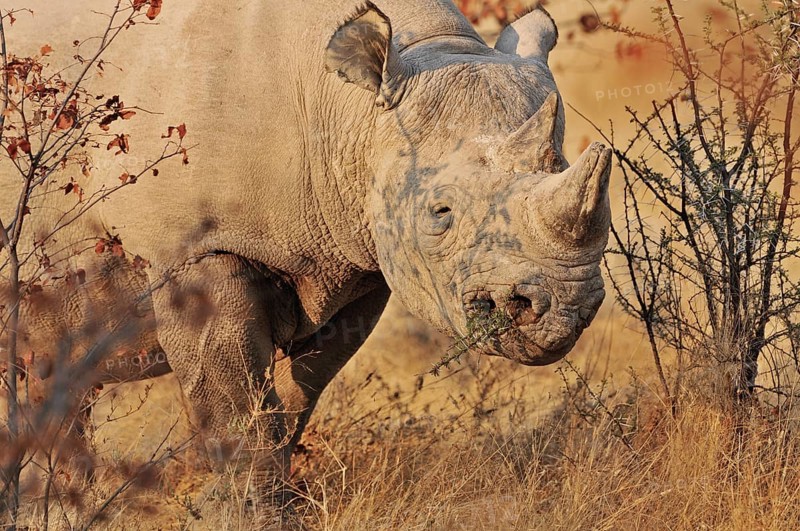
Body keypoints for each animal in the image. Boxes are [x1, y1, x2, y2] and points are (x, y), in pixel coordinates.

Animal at [1, 0, 611, 508]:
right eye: (440, 213)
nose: (561, 313)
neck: (352, 112)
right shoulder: (194, 250)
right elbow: (235, 402)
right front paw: (246, 510)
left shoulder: (358, 260)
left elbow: (300, 394)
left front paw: (271, 498)